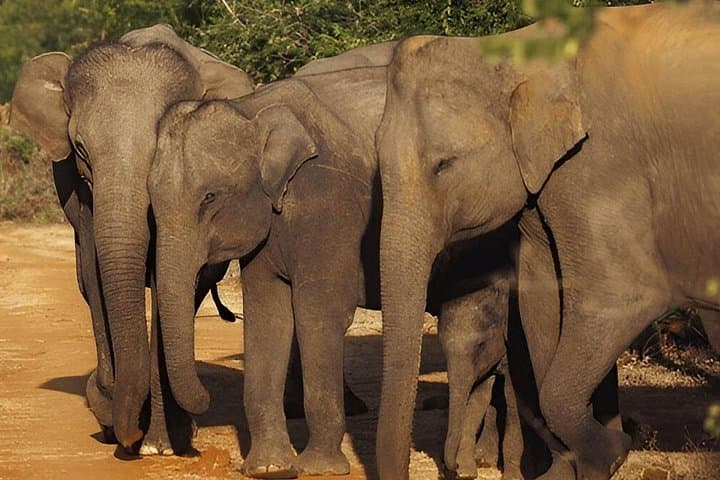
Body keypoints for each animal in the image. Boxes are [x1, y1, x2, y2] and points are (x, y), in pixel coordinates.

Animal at [10, 24, 254, 454]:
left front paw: (159, 442)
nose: (101, 399)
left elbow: (164, 282)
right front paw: (114, 419)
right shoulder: (84, 199)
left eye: (161, 148)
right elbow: (97, 277)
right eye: (80, 149)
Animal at [374, 2, 720, 479]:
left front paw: (612, 452)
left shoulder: (601, 162)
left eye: (444, 164)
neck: (517, 51)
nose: (455, 470)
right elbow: (540, 303)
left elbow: (621, 297)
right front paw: (572, 467)